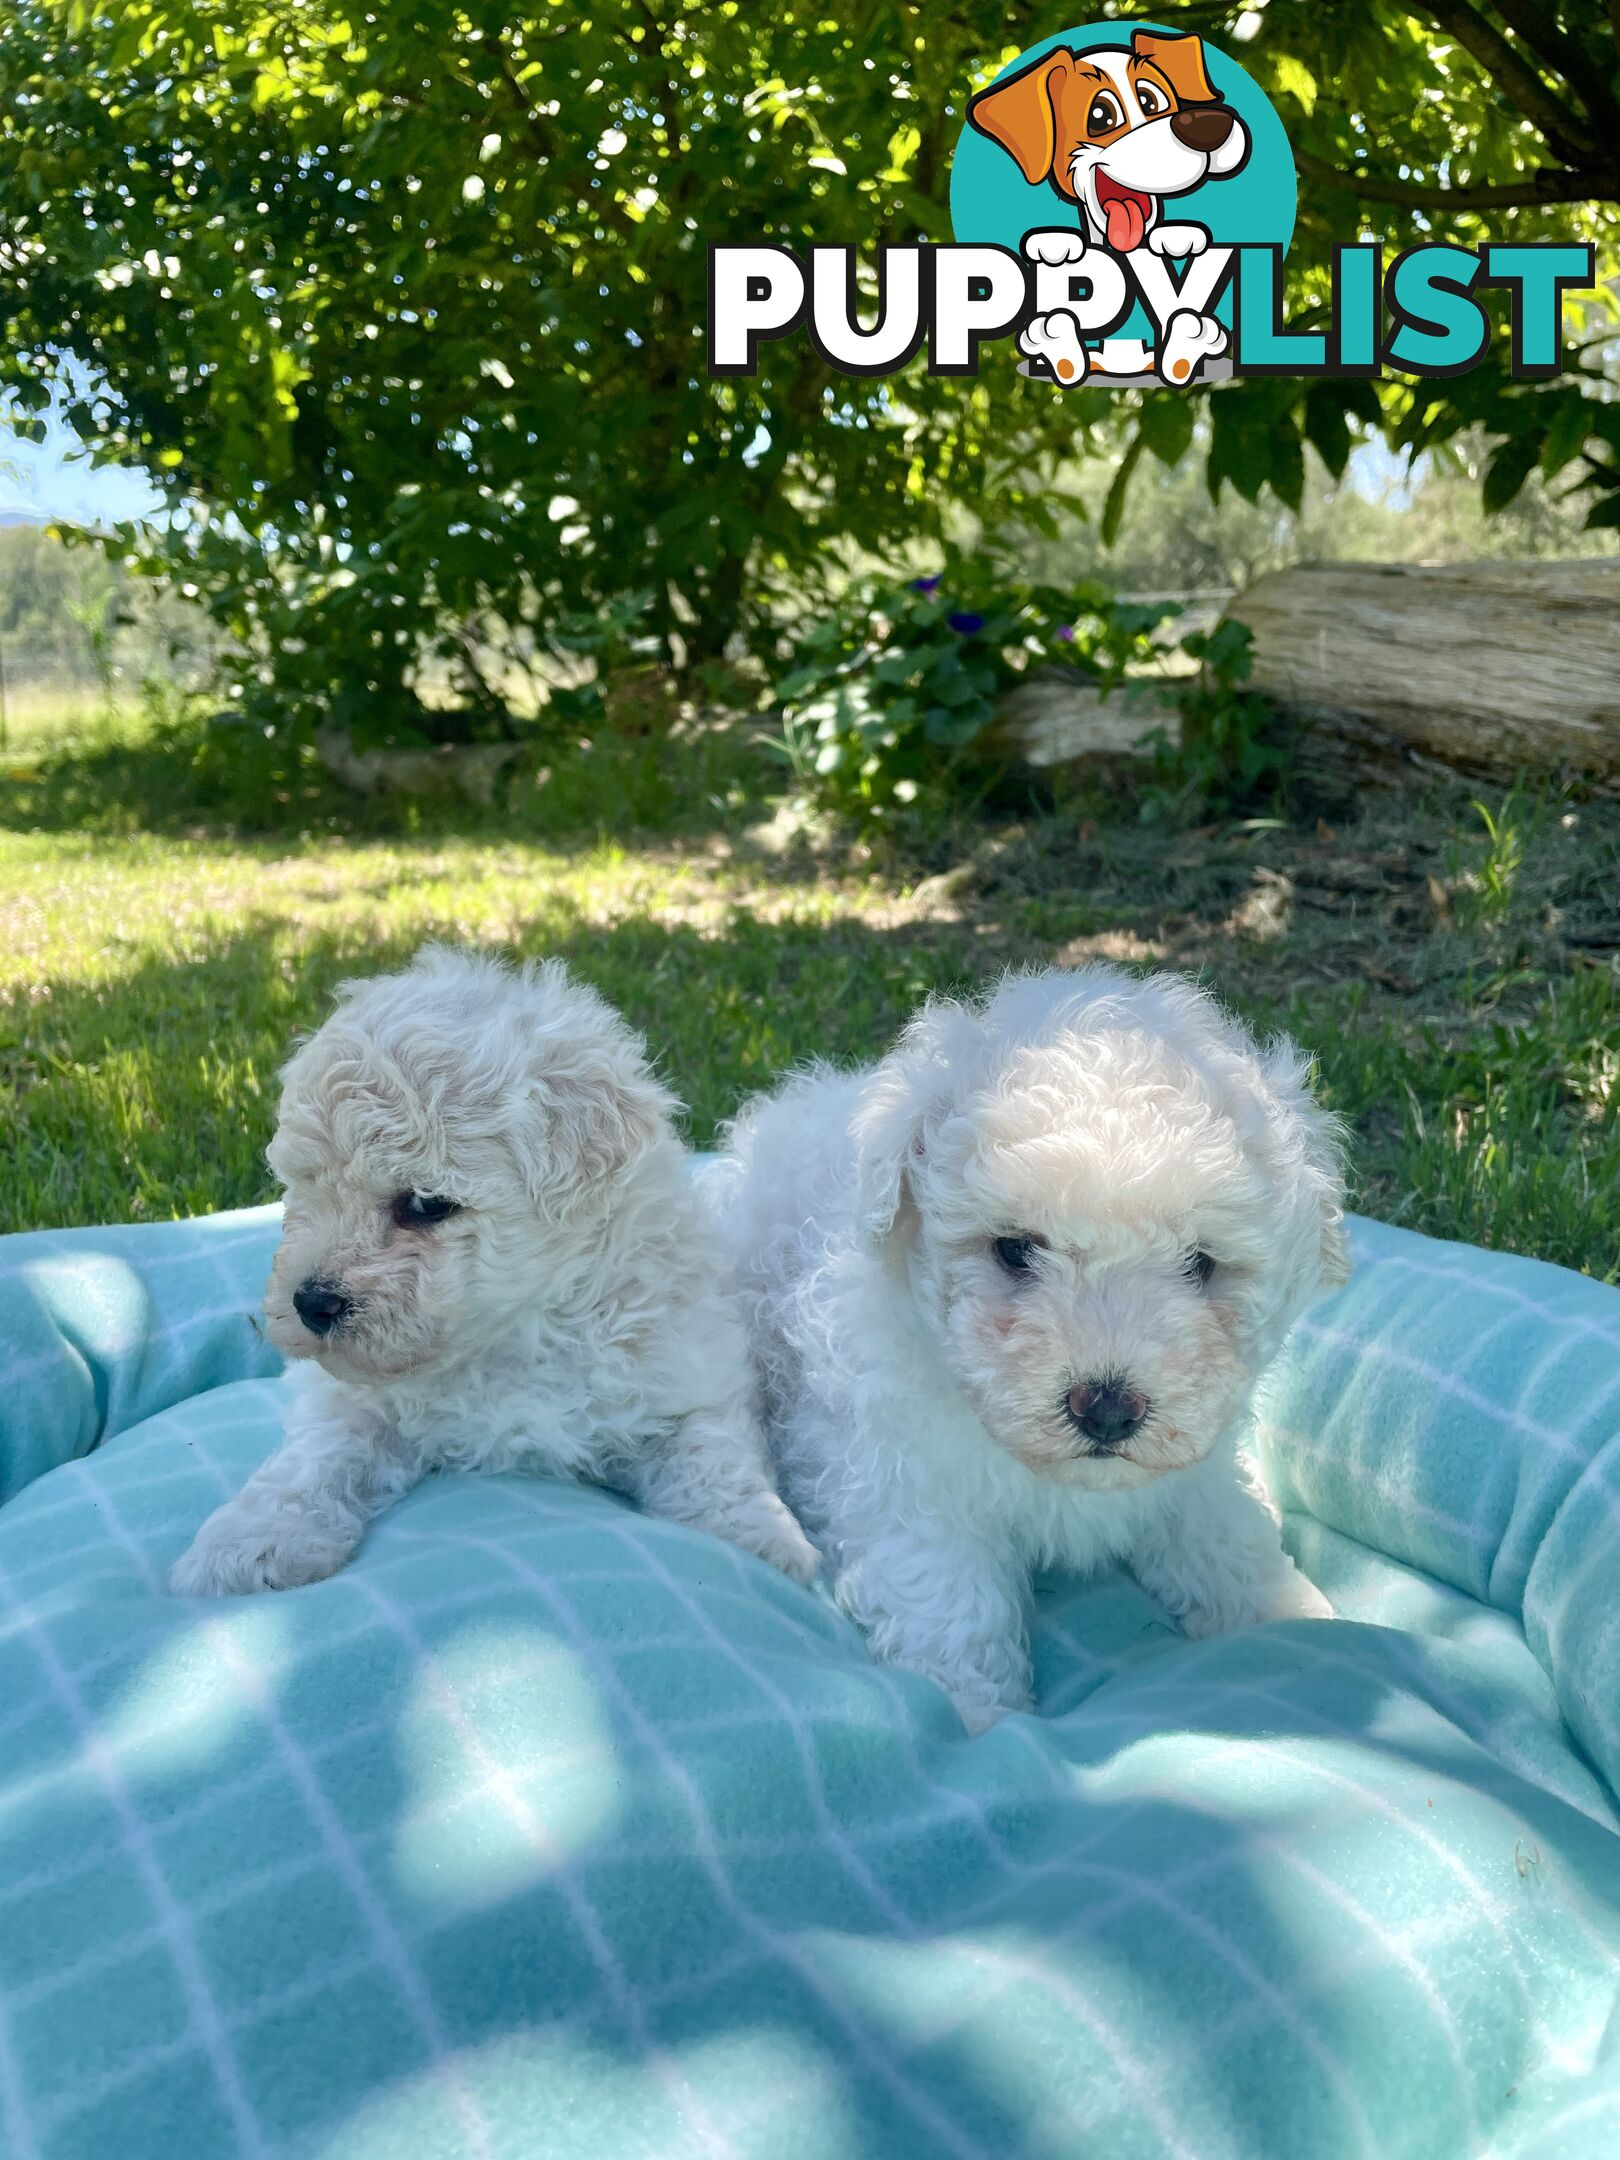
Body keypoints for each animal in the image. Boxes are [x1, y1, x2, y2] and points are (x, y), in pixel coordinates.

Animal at [171, 950, 816, 1607]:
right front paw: (252, 1541)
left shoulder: (689, 1375)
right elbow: (313, 1457)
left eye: (426, 1204)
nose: (311, 1304)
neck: (512, 1334)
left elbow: (714, 1457)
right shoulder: (353, 1398)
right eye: (302, 1185)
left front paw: (756, 1540)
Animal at [717, 972, 1347, 1728]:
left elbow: (1225, 1537)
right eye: (1015, 1249)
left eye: (1200, 1263)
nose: (1107, 1409)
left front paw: (1289, 1617)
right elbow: (948, 1599)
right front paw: (978, 1713)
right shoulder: (907, 1484)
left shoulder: (1197, 1469)